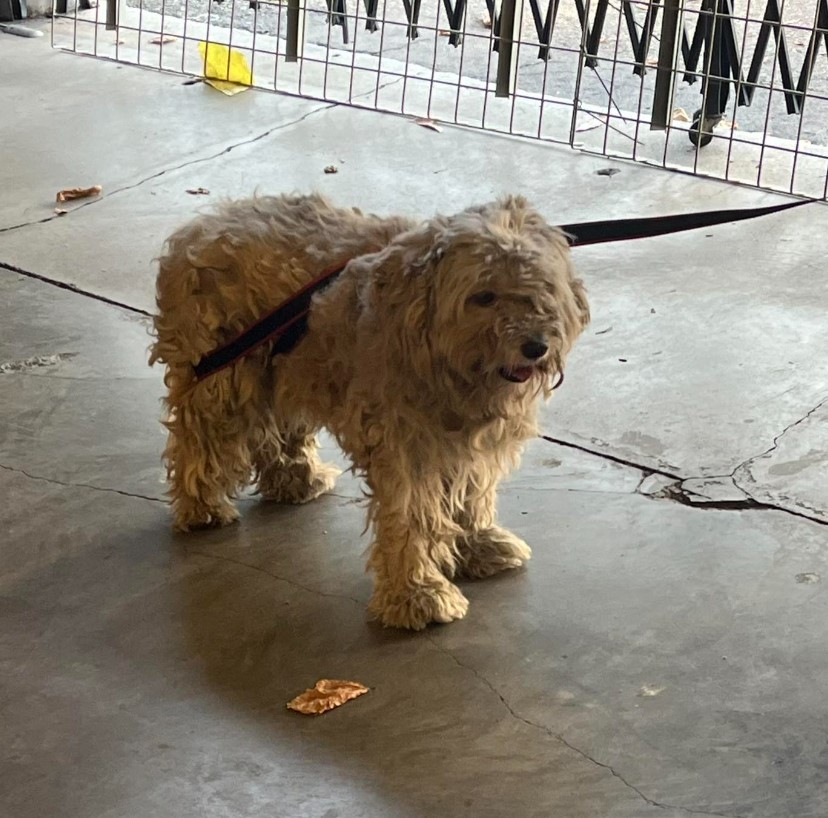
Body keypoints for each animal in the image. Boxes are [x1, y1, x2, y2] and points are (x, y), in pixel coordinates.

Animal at [149, 194, 588, 628]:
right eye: (484, 296)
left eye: (542, 287)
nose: (535, 346)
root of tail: (197, 229)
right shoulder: (405, 442)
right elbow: (410, 514)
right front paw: (418, 595)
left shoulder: (465, 443)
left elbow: (470, 493)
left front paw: (478, 545)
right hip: (223, 372)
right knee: (200, 436)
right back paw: (203, 506)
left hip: (289, 367)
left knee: (277, 428)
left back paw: (296, 480)